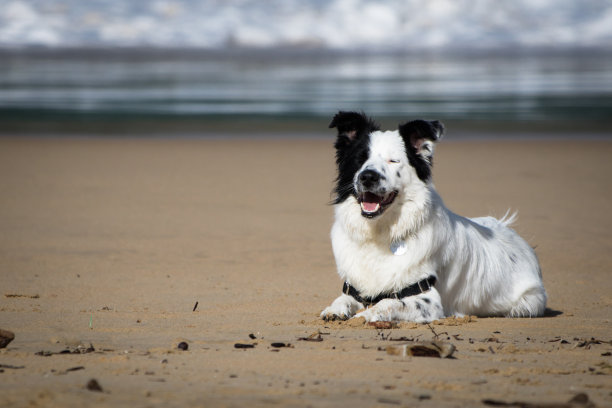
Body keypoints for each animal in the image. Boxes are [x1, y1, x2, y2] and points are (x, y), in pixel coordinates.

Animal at [322, 111, 548, 322]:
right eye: (360, 159)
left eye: (393, 161)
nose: (368, 176)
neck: (381, 233)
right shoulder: (356, 288)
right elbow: (343, 298)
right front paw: (335, 309)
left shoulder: (428, 300)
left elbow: (389, 302)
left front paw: (366, 315)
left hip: (528, 302)